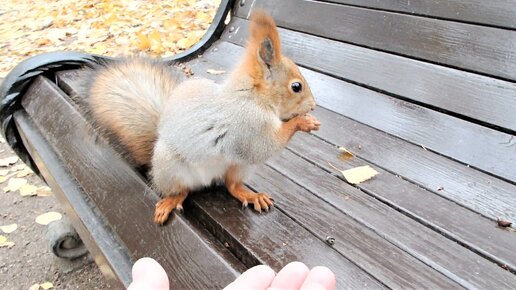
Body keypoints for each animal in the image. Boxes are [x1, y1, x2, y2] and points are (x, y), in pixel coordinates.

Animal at [85, 11, 318, 224]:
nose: (313, 106)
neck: (252, 97)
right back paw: (170, 201)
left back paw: (251, 196)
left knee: (232, 185)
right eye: (296, 87)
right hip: (171, 168)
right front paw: (302, 122)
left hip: (238, 166)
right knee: (182, 191)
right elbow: (264, 147)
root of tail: (207, 179)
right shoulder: (247, 126)